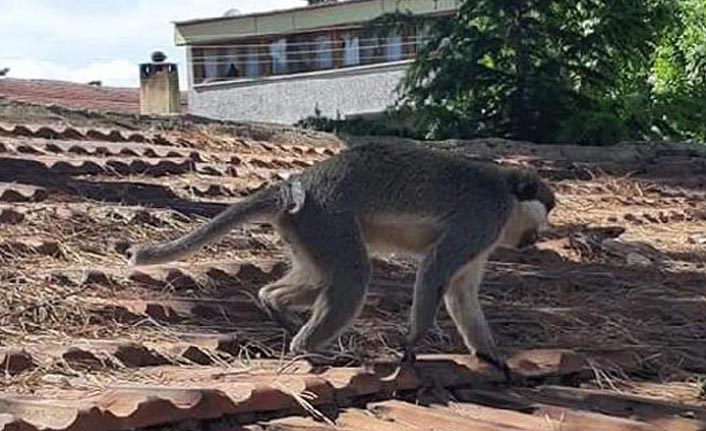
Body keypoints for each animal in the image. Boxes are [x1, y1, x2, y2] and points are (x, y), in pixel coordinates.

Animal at [128, 141, 556, 374]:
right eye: (548, 208)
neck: (506, 192)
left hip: (308, 229)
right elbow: (436, 270)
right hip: (327, 217)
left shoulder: (484, 237)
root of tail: (298, 184)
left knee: (321, 277)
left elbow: (462, 293)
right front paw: (413, 343)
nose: (537, 237)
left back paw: (275, 304)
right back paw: (306, 346)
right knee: (352, 275)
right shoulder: (483, 218)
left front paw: (490, 355)